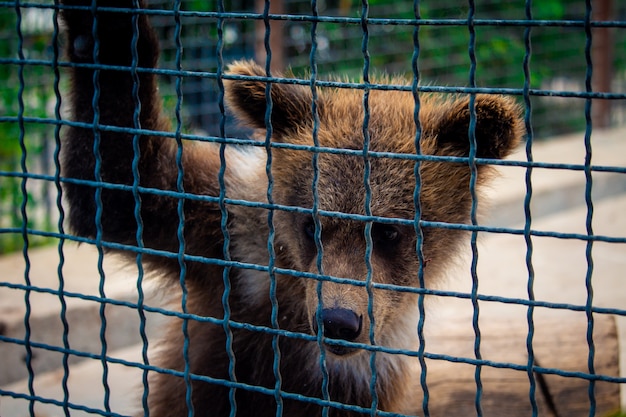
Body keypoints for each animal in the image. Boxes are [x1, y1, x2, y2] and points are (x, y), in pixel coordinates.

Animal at [59, 0, 520, 416]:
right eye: (311, 225)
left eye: (387, 230)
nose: (338, 321)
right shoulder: (237, 240)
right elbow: (121, 191)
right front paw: (106, 29)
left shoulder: (369, 374)